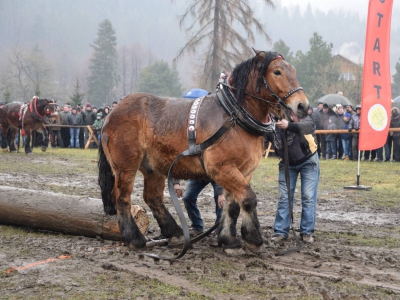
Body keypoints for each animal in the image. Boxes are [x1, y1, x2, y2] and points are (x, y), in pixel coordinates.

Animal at [97, 49, 310, 255]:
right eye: (277, 72)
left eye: (293, 70)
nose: (303, 106)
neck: (234, 116)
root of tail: (112, 113)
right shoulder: (221, 169)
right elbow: (249, 199)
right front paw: (253, 239)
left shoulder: (243, 172)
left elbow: (233, 206)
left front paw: (229, 241)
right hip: (126, 165)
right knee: (122, 197)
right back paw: (135, 239)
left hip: (153, 167)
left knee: (152, 196)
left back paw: (174, 232)